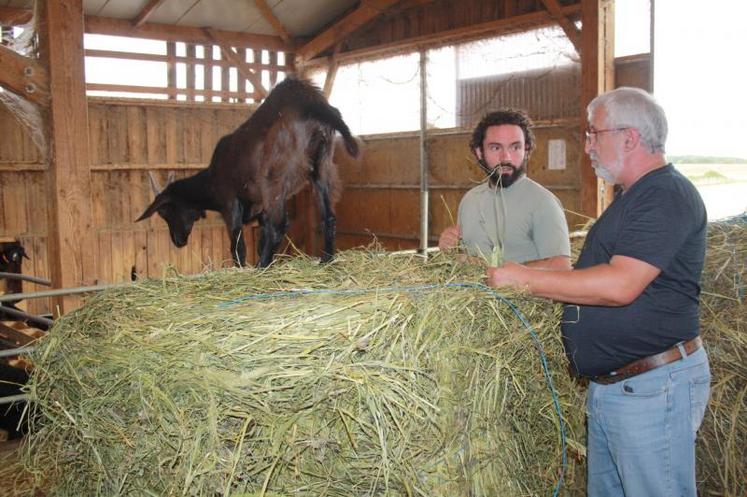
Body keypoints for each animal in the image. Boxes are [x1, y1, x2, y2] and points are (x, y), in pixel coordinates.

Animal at [137, 76, 360, 268]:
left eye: (165, 211)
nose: (178, 241)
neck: (211, 179)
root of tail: (312, 102)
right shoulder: (260, 209)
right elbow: (261, 239)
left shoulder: (230, 203)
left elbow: (237, 245)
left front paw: (243, 268)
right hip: (322, 168)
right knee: (328, 216)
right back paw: (326, 260)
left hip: (275, 178)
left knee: (279, 225)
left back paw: (262, 268)